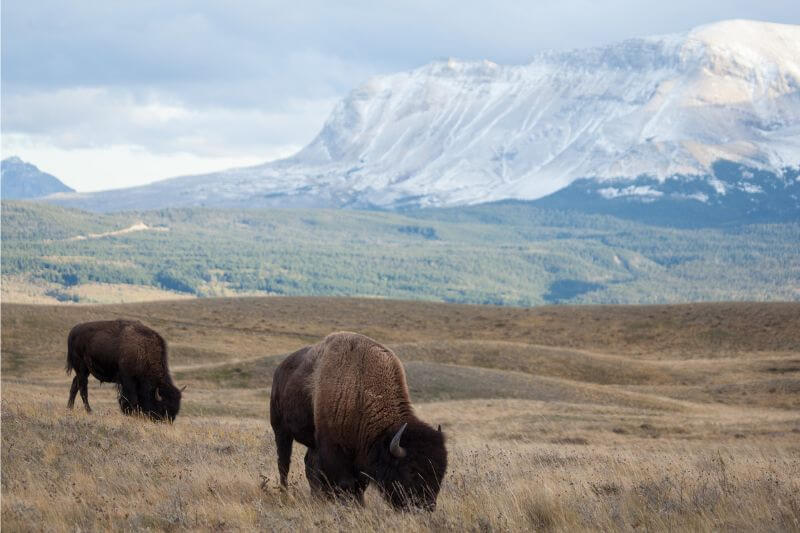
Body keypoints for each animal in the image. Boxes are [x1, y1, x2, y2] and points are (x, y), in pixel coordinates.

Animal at [272, 330, 450, 510]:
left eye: (440, 472)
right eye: (411, 470)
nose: (426, 506)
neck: (359, 388)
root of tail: (280, 370)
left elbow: (357, 484)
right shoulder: (333, 449)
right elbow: (342, 481)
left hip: (311, 442)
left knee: (308, 464)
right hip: (281, 430)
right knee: (284, 462)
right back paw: (286, 494)